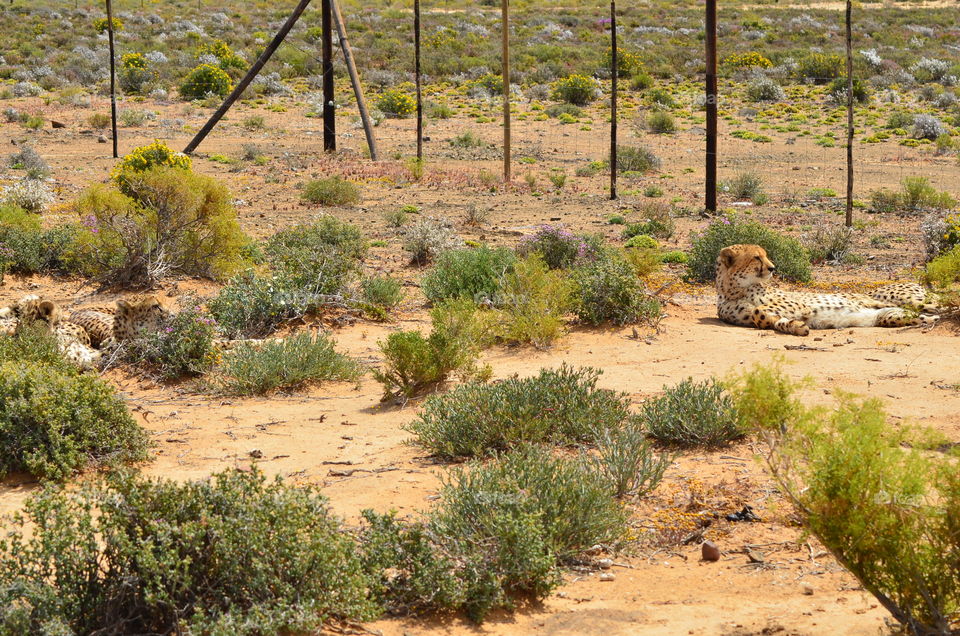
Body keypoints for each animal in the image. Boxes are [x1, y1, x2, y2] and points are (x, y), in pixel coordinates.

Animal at [716, 242, 940, 338]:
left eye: (765, 255)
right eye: (756, 257)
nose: (772, 268)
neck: (735, 290)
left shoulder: (798, 304)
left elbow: (758, 310)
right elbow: (764, 317)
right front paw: (796, 326)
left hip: (912, 300)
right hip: (891, 316)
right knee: (925, 317)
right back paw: (930, 320)